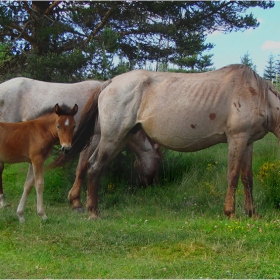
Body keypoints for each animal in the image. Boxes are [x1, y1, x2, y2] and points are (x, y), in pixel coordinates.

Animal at [0, 77, 162, 211]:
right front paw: (77, 202)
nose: (153, 184)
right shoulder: (93, 138)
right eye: (158, 160)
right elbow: (83, 168)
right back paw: (3, 201)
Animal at [52, 64, 280, 220]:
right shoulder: (237, 139)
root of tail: (110, 82)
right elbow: (233, 176)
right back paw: (93, 211)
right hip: (112, 137)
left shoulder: (248, 142)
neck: (257, 95)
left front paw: (252, 213)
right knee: (93, 166)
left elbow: (247, 178)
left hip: (121, 137)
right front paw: (230, 212)